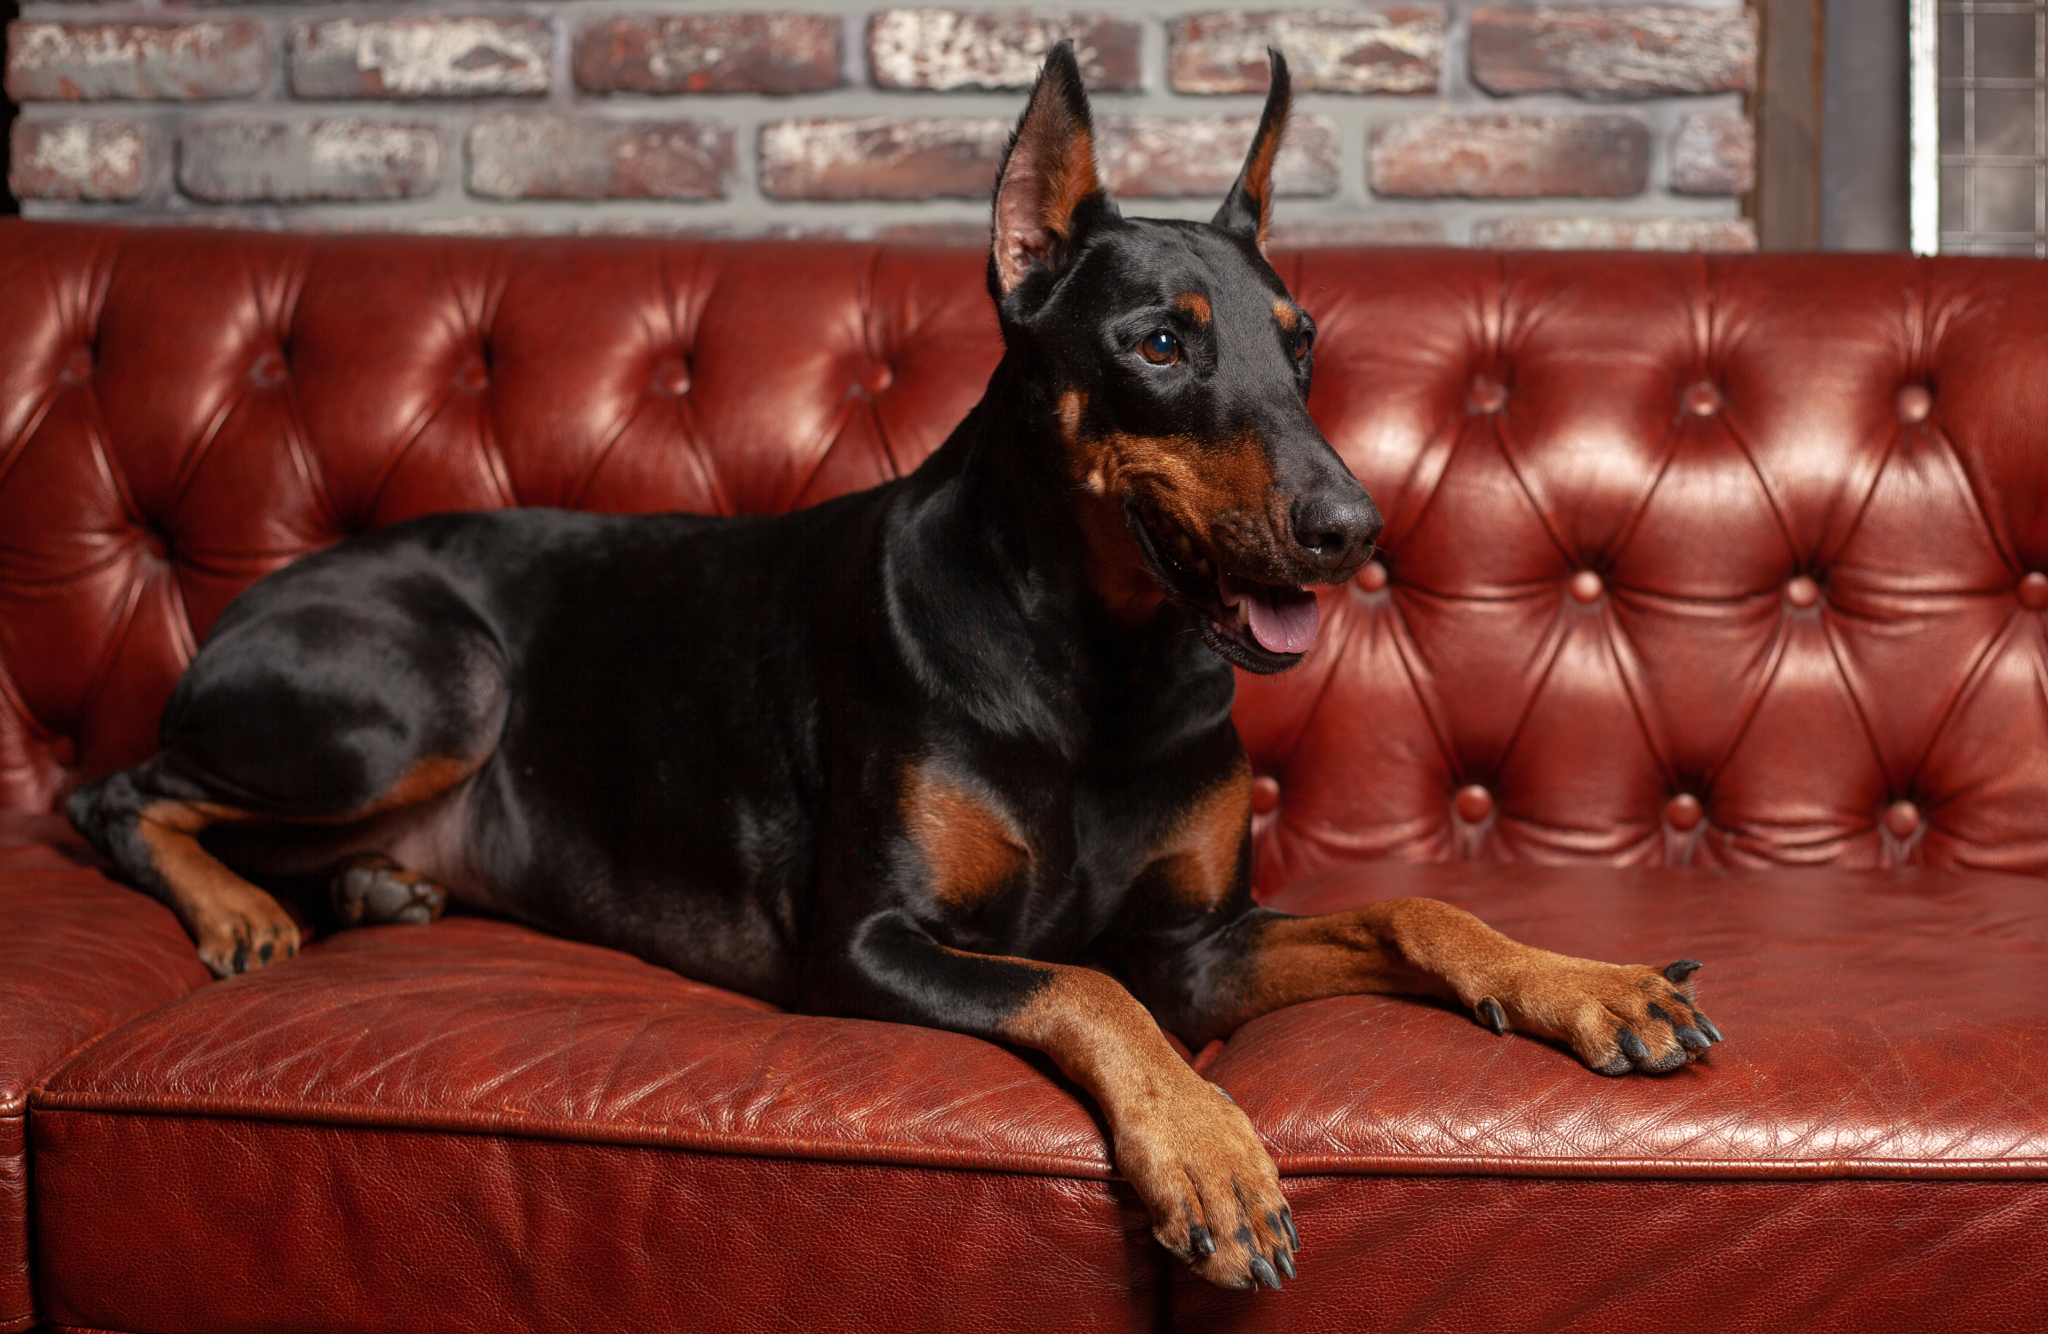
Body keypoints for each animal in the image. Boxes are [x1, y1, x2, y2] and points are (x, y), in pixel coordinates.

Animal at [72, 44, 1720, 1295]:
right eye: (1161, 343)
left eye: (1302, 342)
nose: (1351, 529)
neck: (1097, 664)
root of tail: (259, 594)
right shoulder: (863, 944)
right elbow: (1080, 984)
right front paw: (1209, 1153)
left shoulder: (1197, 940)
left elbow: (1412, 908)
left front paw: (1590, 984)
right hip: (432, 683)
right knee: (115, 794)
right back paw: (239, 910)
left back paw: (369, 888)